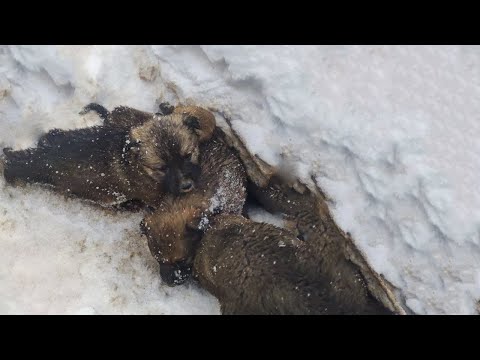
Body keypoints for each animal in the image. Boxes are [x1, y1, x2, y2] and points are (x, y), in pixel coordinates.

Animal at [1, 103, 216, 208]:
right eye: (161, 168)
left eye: (188, 155)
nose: (187, 185)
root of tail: (43, 158)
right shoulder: (154, 197)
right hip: (105, 194)